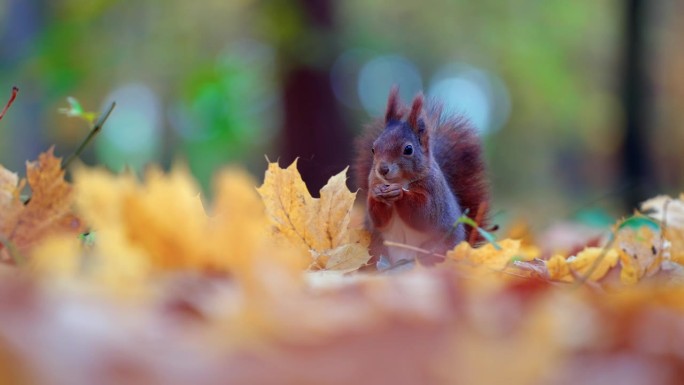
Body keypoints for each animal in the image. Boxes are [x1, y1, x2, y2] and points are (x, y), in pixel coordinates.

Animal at [356, 87, 488, 268]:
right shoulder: (373, 183)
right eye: (373, 148)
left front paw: (400, 193)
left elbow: (424, 213)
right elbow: (378, 219)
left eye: (408, 149)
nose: (382, 169)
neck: (400, 180)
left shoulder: (434, 192)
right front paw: (377, 194)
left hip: (437, 248)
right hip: (376, 247)